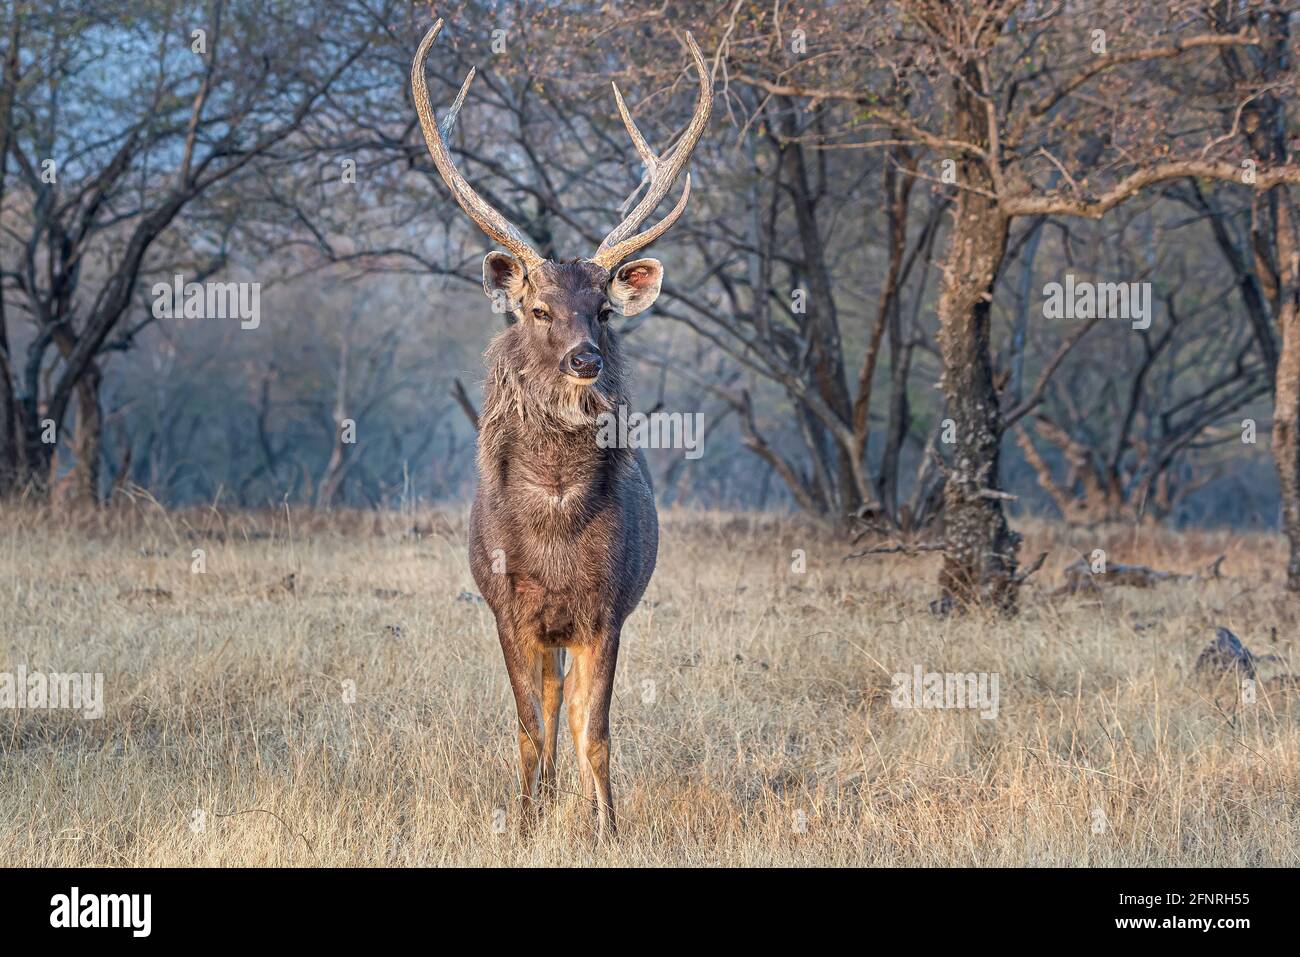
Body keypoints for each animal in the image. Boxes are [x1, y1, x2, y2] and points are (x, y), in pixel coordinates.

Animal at [410, 14, 712, 837]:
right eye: (538, 308)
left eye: (603, 308)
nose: (585, 359)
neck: (550, 522)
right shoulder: (508, 606)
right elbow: (527, 724)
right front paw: (521, 823)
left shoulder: (606, 606)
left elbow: (595, 728)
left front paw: (608, 827)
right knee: (547, 707)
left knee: (571, 708)